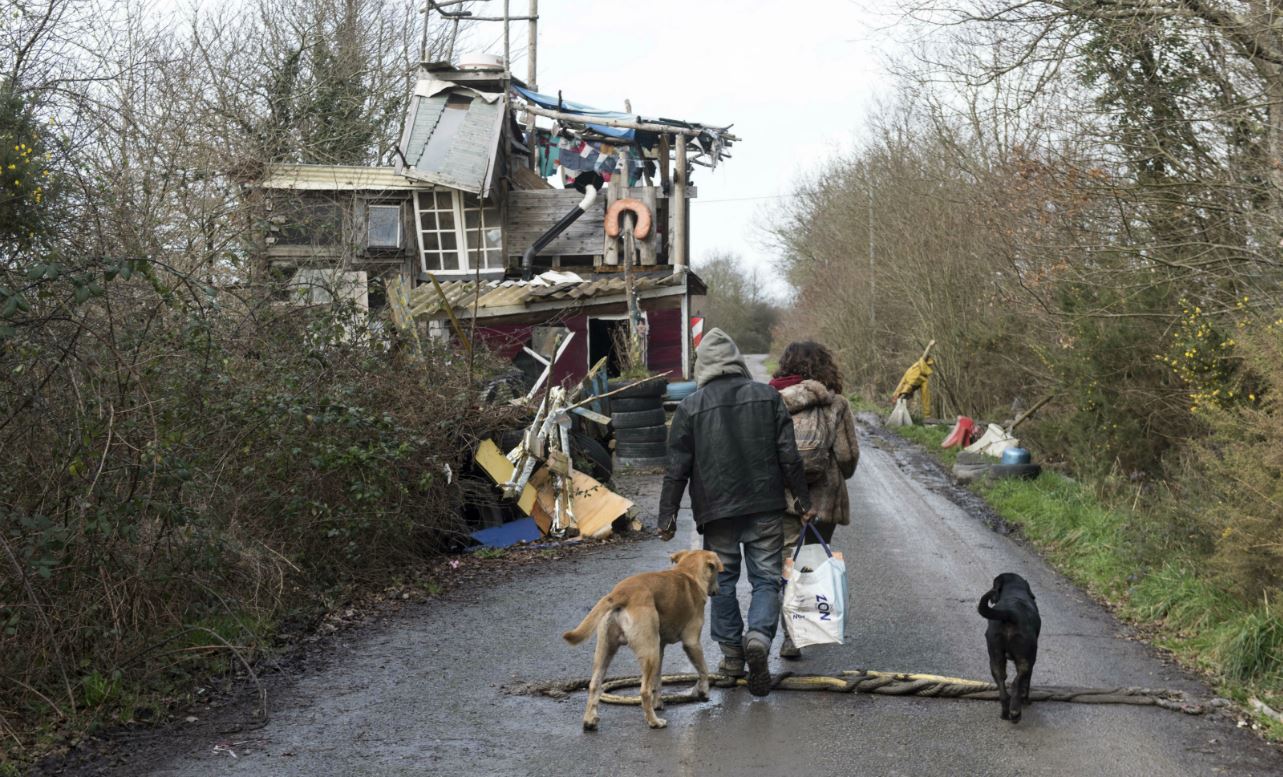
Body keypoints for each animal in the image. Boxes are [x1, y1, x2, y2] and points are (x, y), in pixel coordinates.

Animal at [561, 551, 723, 733]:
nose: (718, 590)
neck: (688, 573)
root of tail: (621, 593)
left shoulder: (660, 648)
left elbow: (658, 680)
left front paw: (658, 703)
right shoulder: (691, 643)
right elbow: (703, 670)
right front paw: (703, 692)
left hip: (606, 651)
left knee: (594, 684)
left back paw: (590, 721)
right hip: (649, 652)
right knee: (644, 691)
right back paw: (654, 722)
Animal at [980, 571, 1041, 723]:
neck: (1013, 590)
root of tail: (1010, 613)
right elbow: (1026, 683)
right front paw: (1026, 700)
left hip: (995, 658)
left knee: (1003, 687)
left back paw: (1005, 713)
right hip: (1027, 660)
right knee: (1016, 683)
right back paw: (1015, 712)